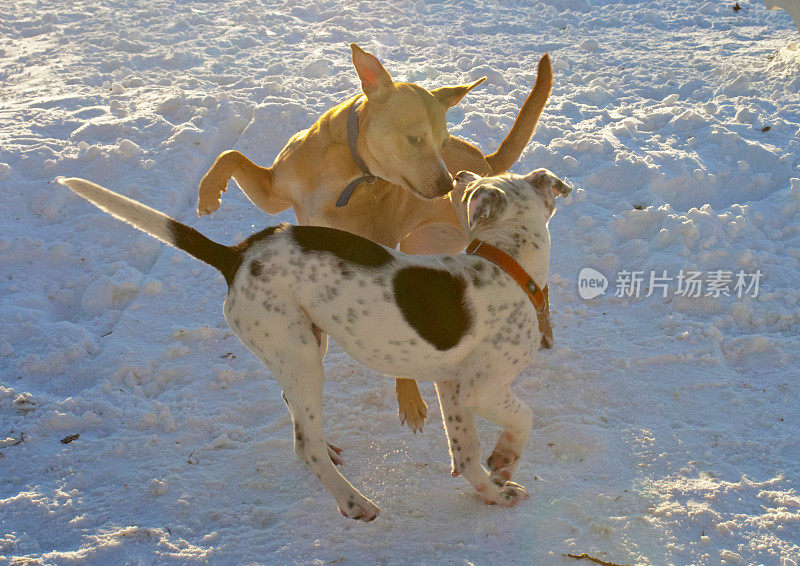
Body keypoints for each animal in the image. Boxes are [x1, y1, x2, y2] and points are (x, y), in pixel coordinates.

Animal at [197, 43, 552, 434]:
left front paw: (408, 395)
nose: (449, 185)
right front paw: (208, 192)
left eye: (442, 142)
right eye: (415, 138)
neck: (345, 170)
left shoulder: (376, 241)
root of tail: (487, 162)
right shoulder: (273, 193)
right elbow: (230, 155)